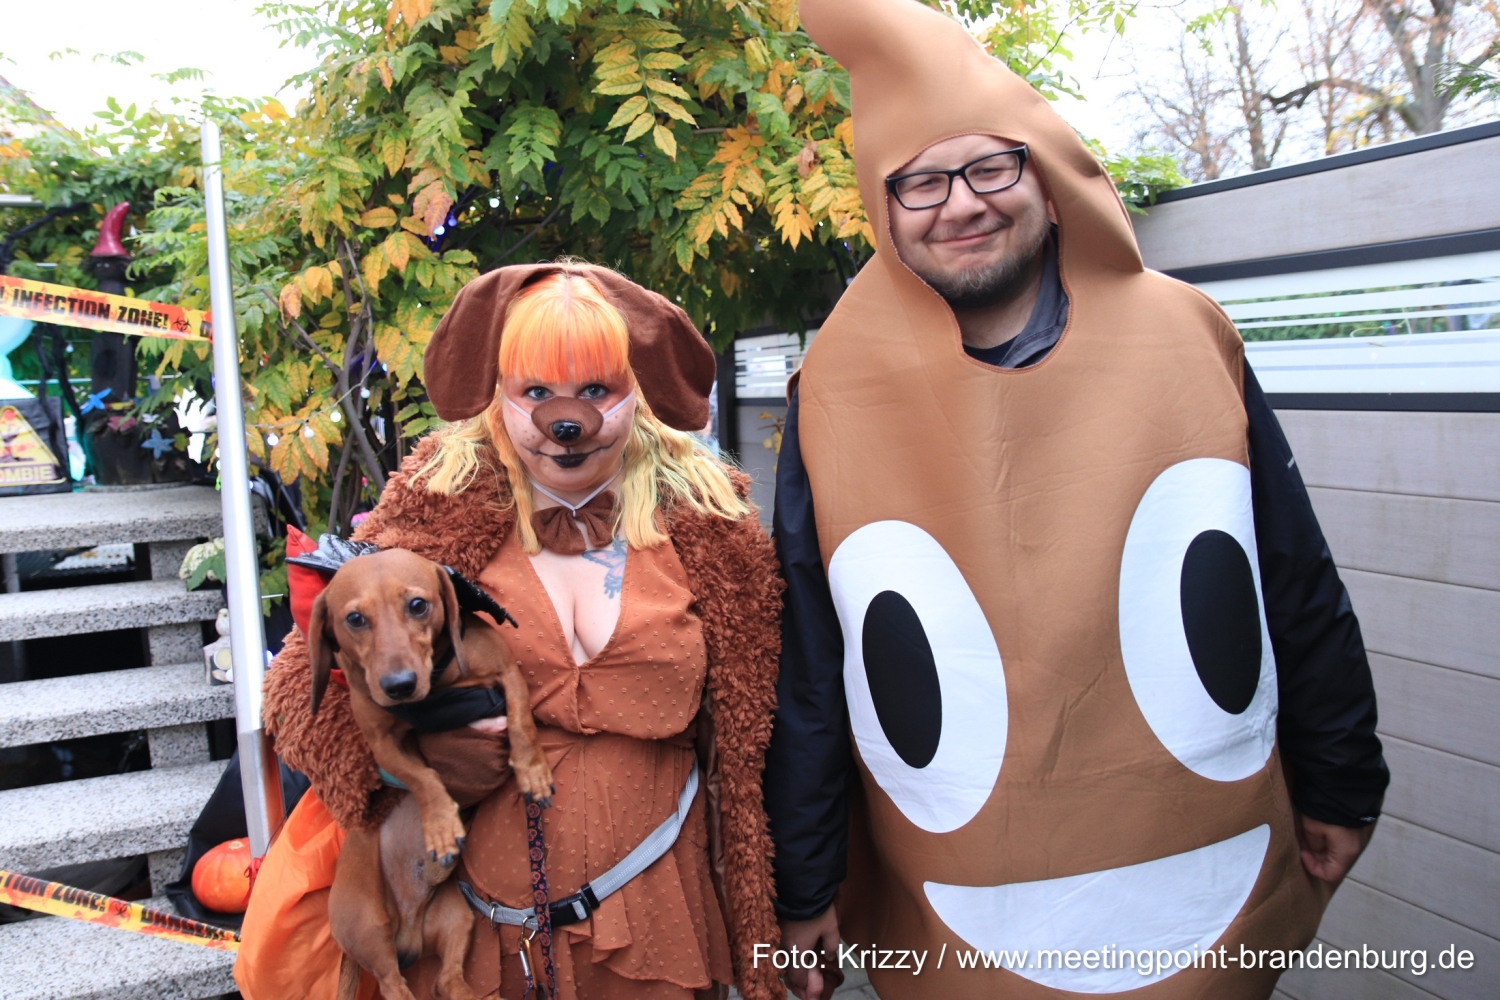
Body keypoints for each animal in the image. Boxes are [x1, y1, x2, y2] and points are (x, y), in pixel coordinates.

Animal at [308, 548, 554, 1000]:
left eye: (418, 605)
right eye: (355, 618)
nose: (399, 686)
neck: (440, 687)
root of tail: (408, 932)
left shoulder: (508, 676)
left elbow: (521, 726)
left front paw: (533, 774)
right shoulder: (382, 742)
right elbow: (423, 776)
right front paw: (440, 824)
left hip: (458, 915)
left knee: (447, 980)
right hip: (368, 922)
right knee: (392, 985)